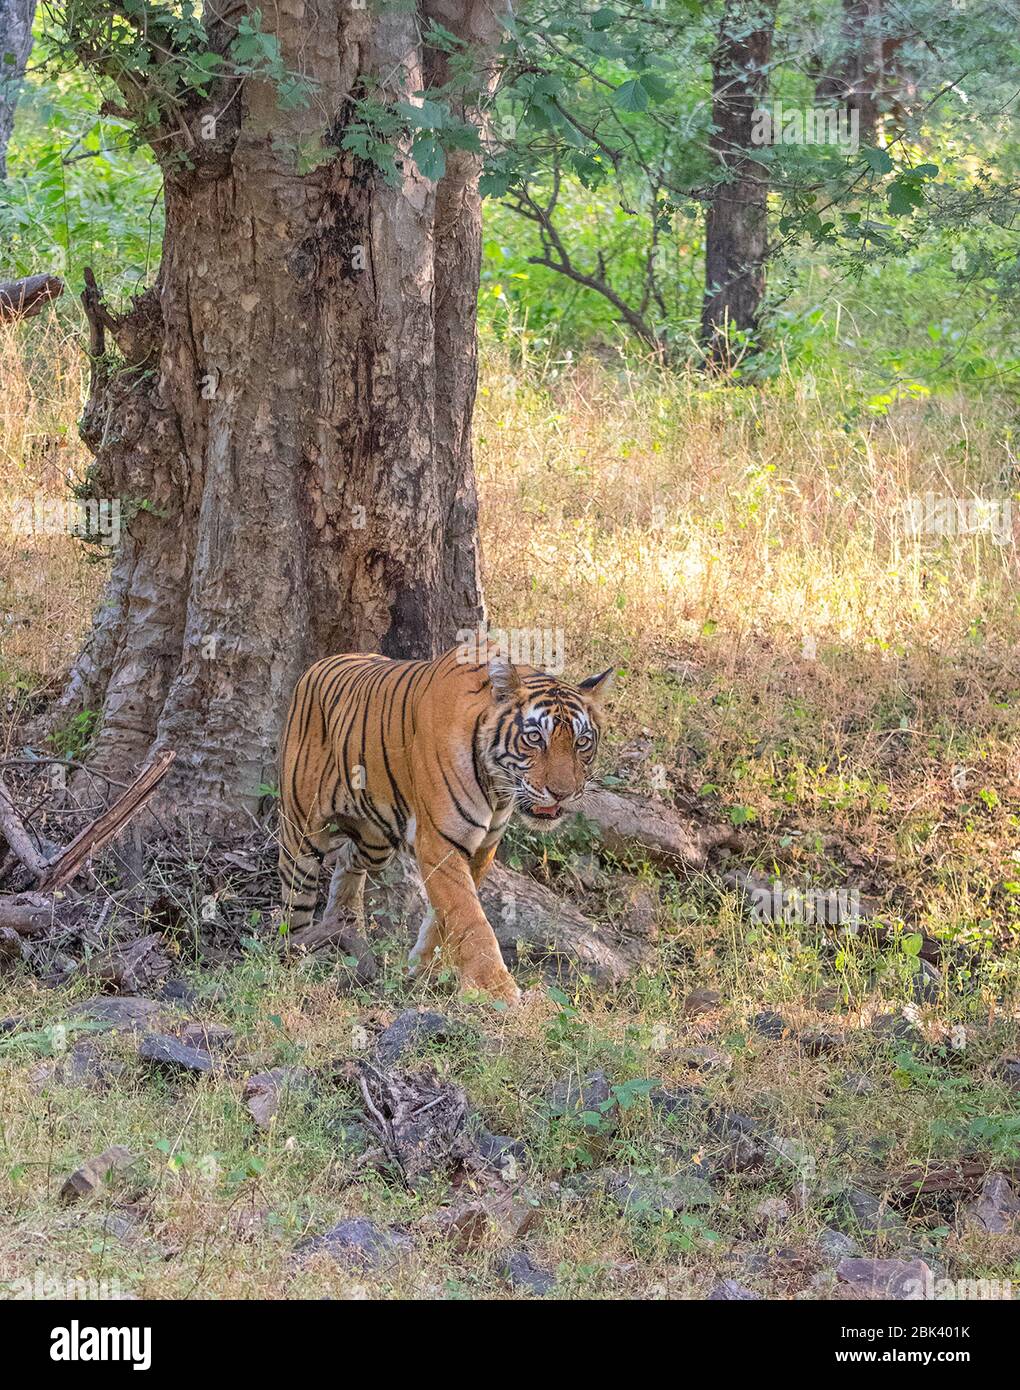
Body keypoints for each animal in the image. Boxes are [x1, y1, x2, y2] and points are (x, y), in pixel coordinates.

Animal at [277, 636, 614, 1006]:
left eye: (582, 742)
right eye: (535, 738)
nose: (562, 793)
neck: (497, 787)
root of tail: (319, 664)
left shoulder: (482, 847)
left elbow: (446, 914)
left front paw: (424, 969)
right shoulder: (441, 841)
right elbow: (469, 916)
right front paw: (494, 989)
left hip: (375, 839)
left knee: (347, 859)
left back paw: (344, 926)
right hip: (302, 831)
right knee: (296, 896)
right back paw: (301, 956)